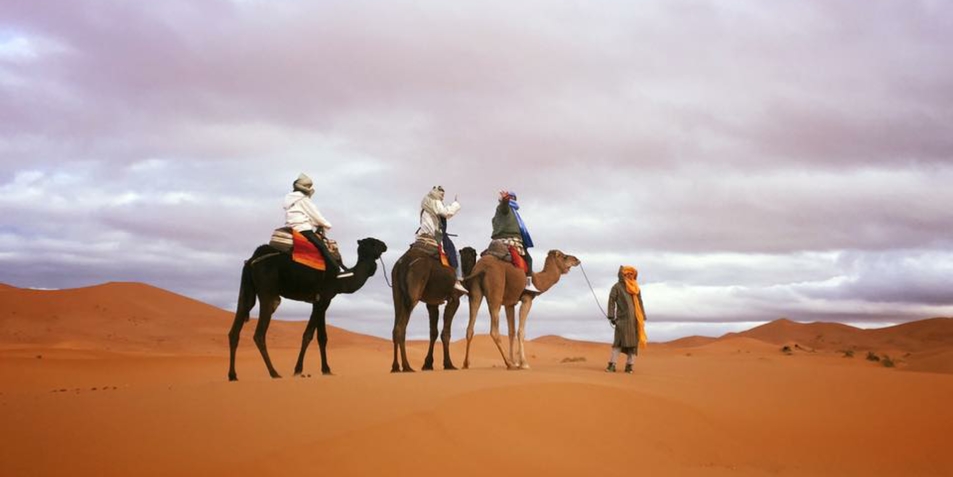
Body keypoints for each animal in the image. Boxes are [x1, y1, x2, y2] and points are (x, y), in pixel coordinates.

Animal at [227, 237, 386, 380]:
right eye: (373, 242)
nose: (385, 245)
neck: (342, 278)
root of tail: (251, 261)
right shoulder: (323, 299)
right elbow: (308, 335)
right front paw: (298, 369)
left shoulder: (322, 301)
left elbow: (322, 337)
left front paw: (326, 370)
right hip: (267, 291)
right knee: (259, 333)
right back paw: (274, 373)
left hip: (248, 291)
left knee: (236, 327)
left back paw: (233, 375)